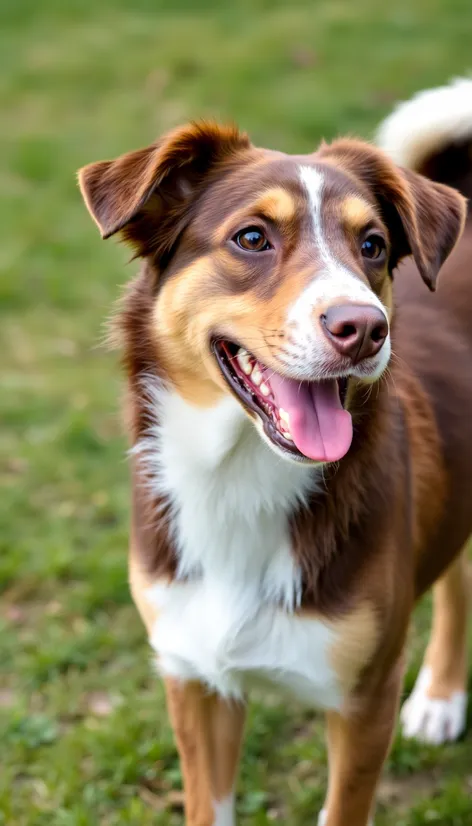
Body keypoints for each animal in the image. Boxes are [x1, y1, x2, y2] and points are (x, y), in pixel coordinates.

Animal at [79, 79, 470, 824]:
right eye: (252, 238)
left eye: (372, 245)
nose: (364, 328)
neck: (240, 479)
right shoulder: (195, 681)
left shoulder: (365, 702)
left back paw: (440, 697)